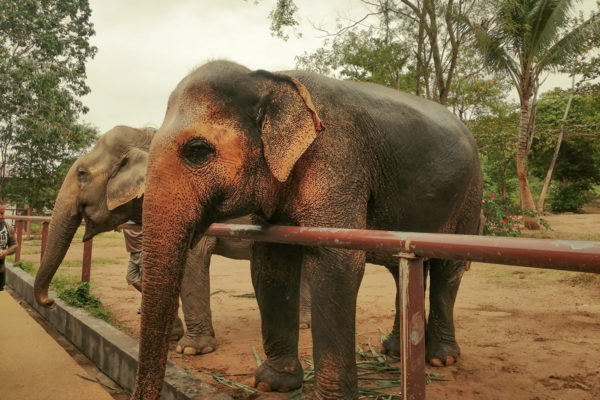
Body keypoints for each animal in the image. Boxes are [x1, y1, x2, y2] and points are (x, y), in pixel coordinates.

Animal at [32, 126, 312, 356]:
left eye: (82, 174)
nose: (50, 303)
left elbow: (191, 261)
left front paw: (192, 350)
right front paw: (170, 336)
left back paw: (302, 324)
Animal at [132, 60, 482, 400]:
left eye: (197, 150)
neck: (270, 78)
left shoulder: (338, 159)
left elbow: (337, 262)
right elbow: (271, 261)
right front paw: (273, 384)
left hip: (470, 194)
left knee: (447, 270)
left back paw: (441, 358)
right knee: (403, 270)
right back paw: (394, 352)